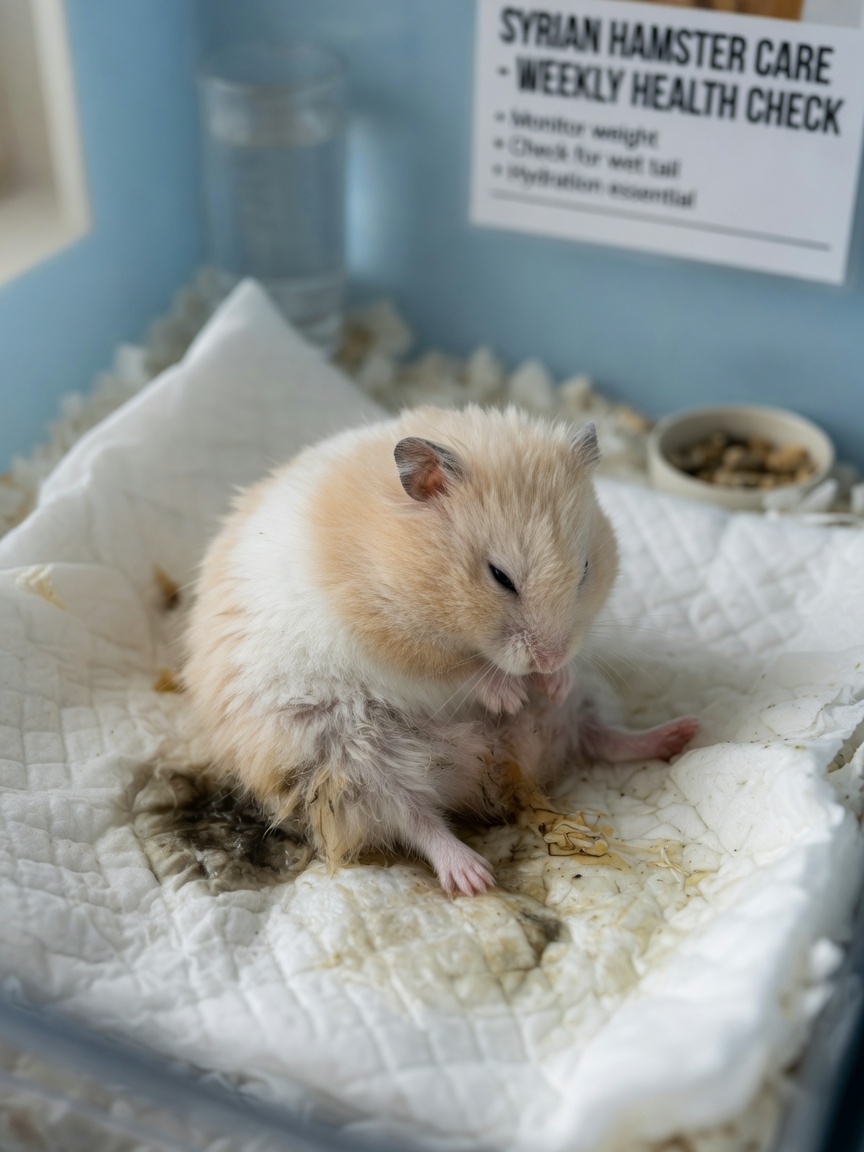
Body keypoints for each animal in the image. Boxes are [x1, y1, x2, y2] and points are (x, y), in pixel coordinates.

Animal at [183, 405, 697, 896]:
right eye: (500, 576)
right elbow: (453, 672)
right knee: (416, 821)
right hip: (348, 761)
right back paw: (473, 876)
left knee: (600, 737)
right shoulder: (389, 640)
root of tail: (497, 771)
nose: (548, 660)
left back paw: (678, 733)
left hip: (578, 704)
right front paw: (509, 695)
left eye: (587, 568)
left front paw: (552, 681)